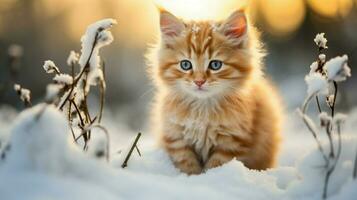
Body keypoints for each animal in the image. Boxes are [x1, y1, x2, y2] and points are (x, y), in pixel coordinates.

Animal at [146, 9, 282, 175]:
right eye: (185, 65)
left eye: (215, 65)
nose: (199, 81)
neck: (202, 110)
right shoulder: (177, 138)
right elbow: (187, 165)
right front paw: (190, 178)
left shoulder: (231, 142)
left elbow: (216, 167)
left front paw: (209, 178)